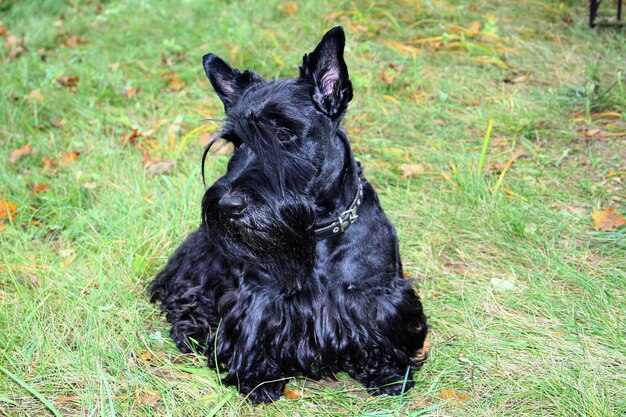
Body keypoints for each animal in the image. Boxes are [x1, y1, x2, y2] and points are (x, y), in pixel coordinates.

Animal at [149, 26, 426, 404]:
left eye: (282, 132)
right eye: (236, 141)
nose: (228, 205)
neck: (316, 234)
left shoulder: (377, 296)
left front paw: (388, 373)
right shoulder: (259, 299)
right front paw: (258, 378)